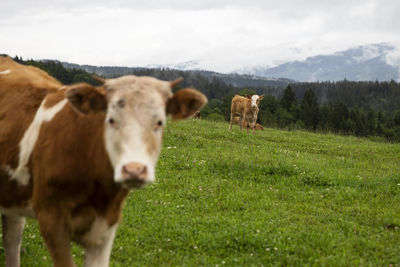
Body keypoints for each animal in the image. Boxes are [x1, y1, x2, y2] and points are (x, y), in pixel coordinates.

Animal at [0, 56, 206, 267]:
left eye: (159, 122)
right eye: (111, 119)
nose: (134, 170)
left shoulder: (106, 227)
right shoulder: (51, 219)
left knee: (12, 237)